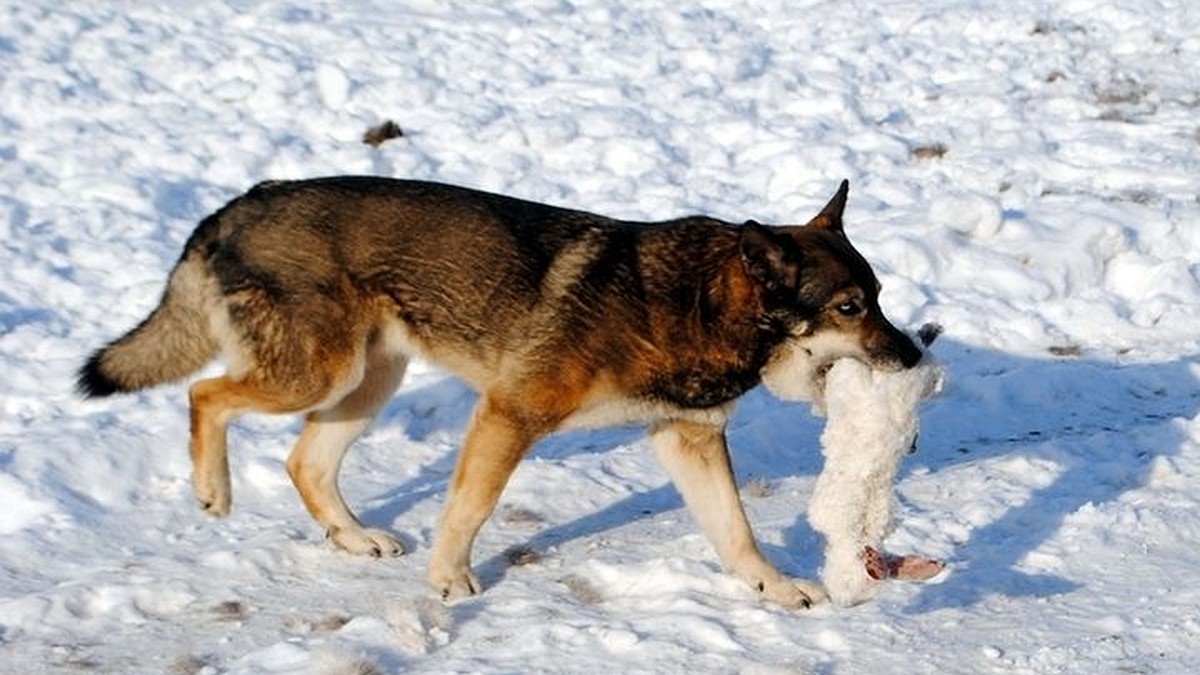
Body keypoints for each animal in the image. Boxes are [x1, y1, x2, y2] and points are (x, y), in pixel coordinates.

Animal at [77, 176, 916, 607]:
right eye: (851, 307)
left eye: (880, 296)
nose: (913, 354)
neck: (697, 302)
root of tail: (240, 202)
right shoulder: (509, 416)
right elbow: (467, 510)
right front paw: (448, 578)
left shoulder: (689, 437)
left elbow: (736, 530)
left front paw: (774, 586)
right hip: (315, 375)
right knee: (206, 394)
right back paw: (213, 490)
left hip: (366, 383)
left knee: (303, 461)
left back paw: (354, 536)